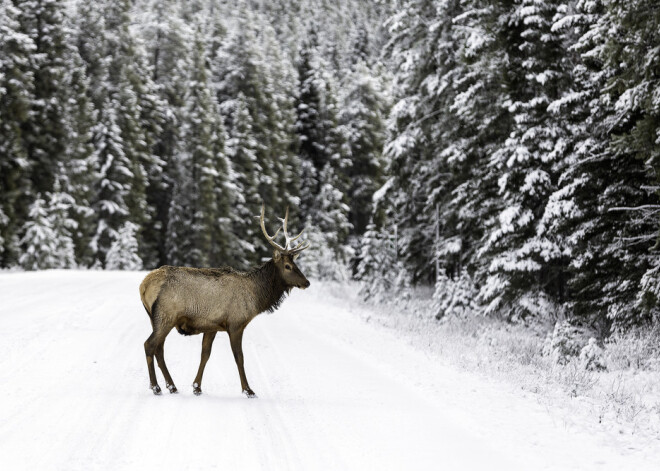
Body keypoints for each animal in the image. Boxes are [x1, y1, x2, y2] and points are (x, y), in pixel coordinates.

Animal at [137, 206, 312, 398]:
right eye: (288, 266)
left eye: (296, 264)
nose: (306, 282)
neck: (256, 298)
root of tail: (144, 285)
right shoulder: (236, 323)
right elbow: (239, 357)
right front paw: (248, 390)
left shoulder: (212, 326)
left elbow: (205, 354)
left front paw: (197, 387)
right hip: (166, 316)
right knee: (149, 345)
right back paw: (156, 387)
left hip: (156, 318)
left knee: (159, 349)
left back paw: (172, 386)